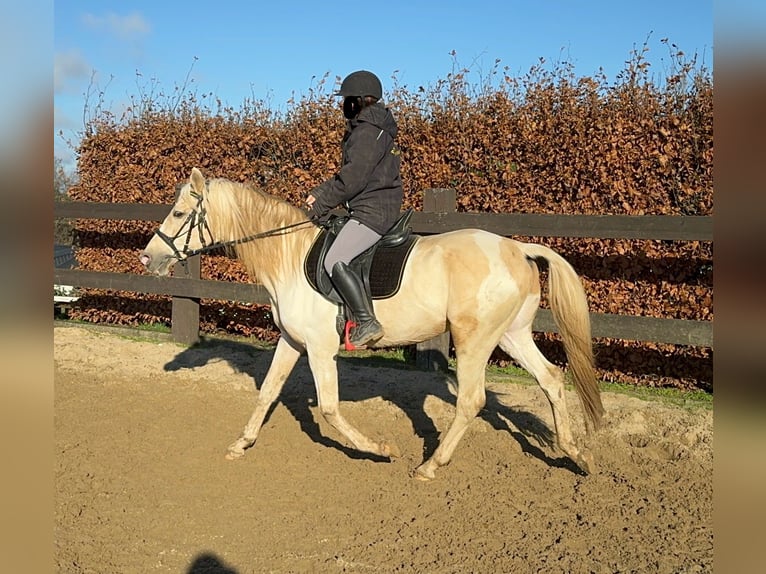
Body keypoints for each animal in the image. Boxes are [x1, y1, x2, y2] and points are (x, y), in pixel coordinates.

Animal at [140, 168, 608, 482]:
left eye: (179, 213)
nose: (148, 258)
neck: (289, 257)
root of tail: (518, 249)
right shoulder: (292, 342)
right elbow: (267, 392)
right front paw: (242, 443)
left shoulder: (319, 349)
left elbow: (329, 408)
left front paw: (381, 449)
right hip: (510, 335)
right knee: (550, 378)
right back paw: (577, 455)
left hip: (474, 340)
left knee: (471, 400)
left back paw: (430, 466)